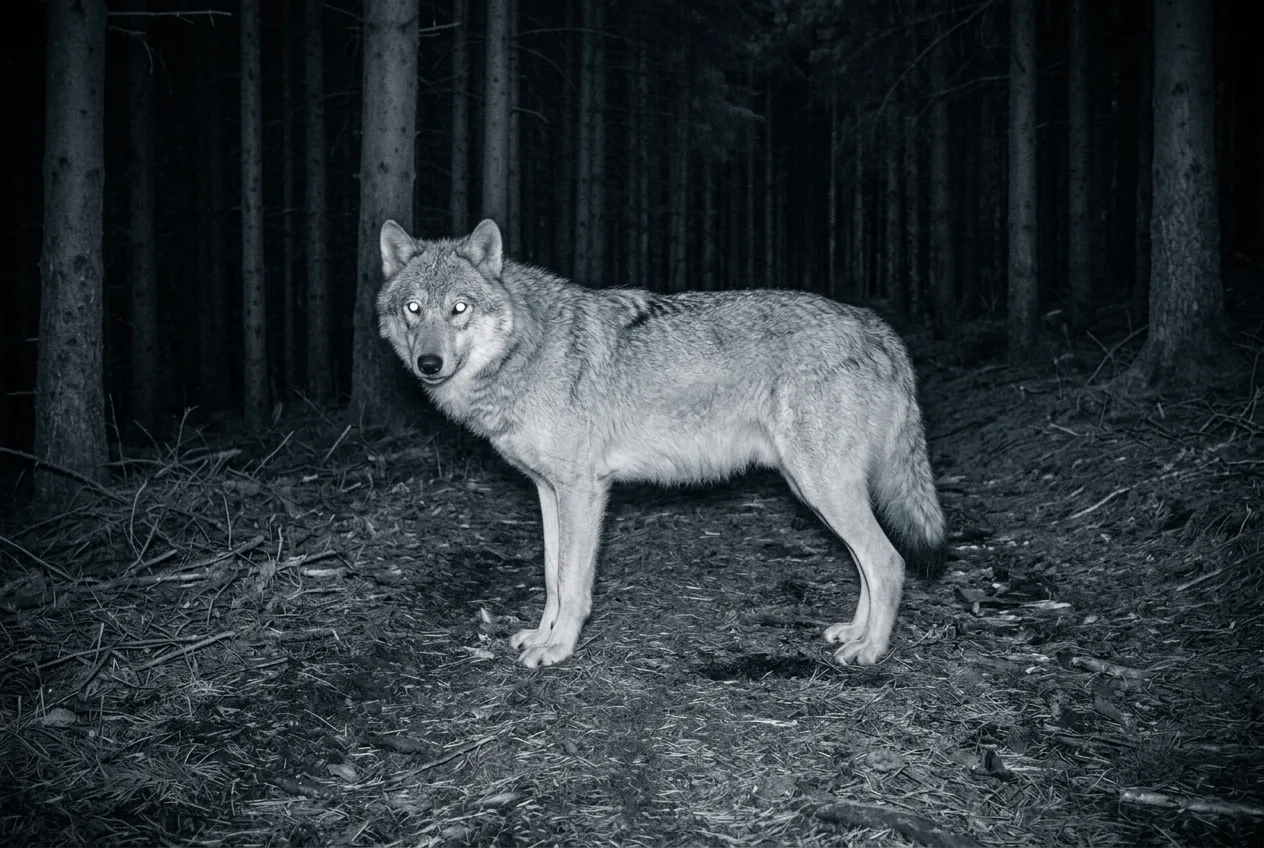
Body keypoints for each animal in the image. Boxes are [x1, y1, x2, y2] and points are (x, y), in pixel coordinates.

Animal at [377, 219, 945, 669]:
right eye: (413, 308)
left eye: (459, 308)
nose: (429, 363)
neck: (527, 349)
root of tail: (878, 328)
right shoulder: (548, 491)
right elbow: (552, 577)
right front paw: (541, 635)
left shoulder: (583, 490)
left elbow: (573, 583)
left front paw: (557, 649)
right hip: (815, 491)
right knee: (868, 565)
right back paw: (855, 633)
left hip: (822, 488)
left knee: (888, 562)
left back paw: (870, 651)